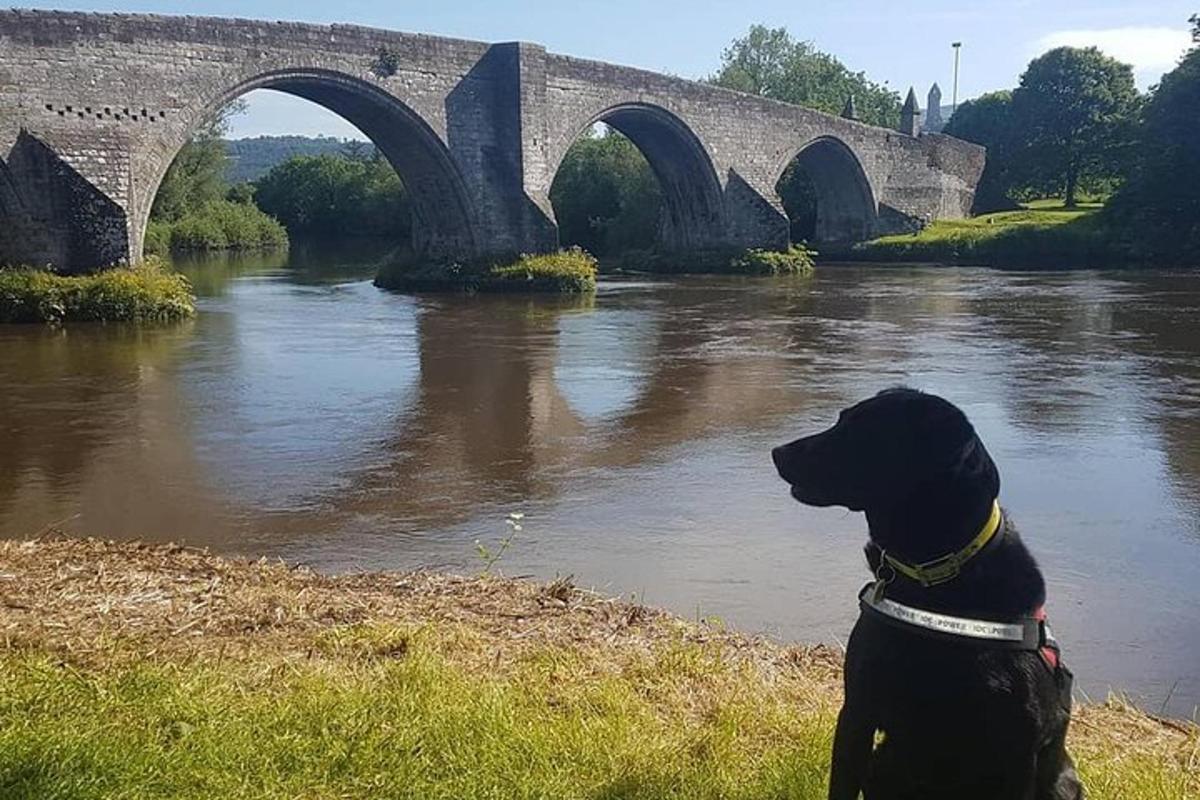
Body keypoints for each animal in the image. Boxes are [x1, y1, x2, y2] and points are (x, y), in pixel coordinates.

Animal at [772, 383, 1084, 796]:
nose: (778, 452)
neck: (934, 580)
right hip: (883, 762)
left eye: (860, 430)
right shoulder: (857, 709)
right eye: (841, 420)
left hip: (1060, 783)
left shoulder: (1018, 748)